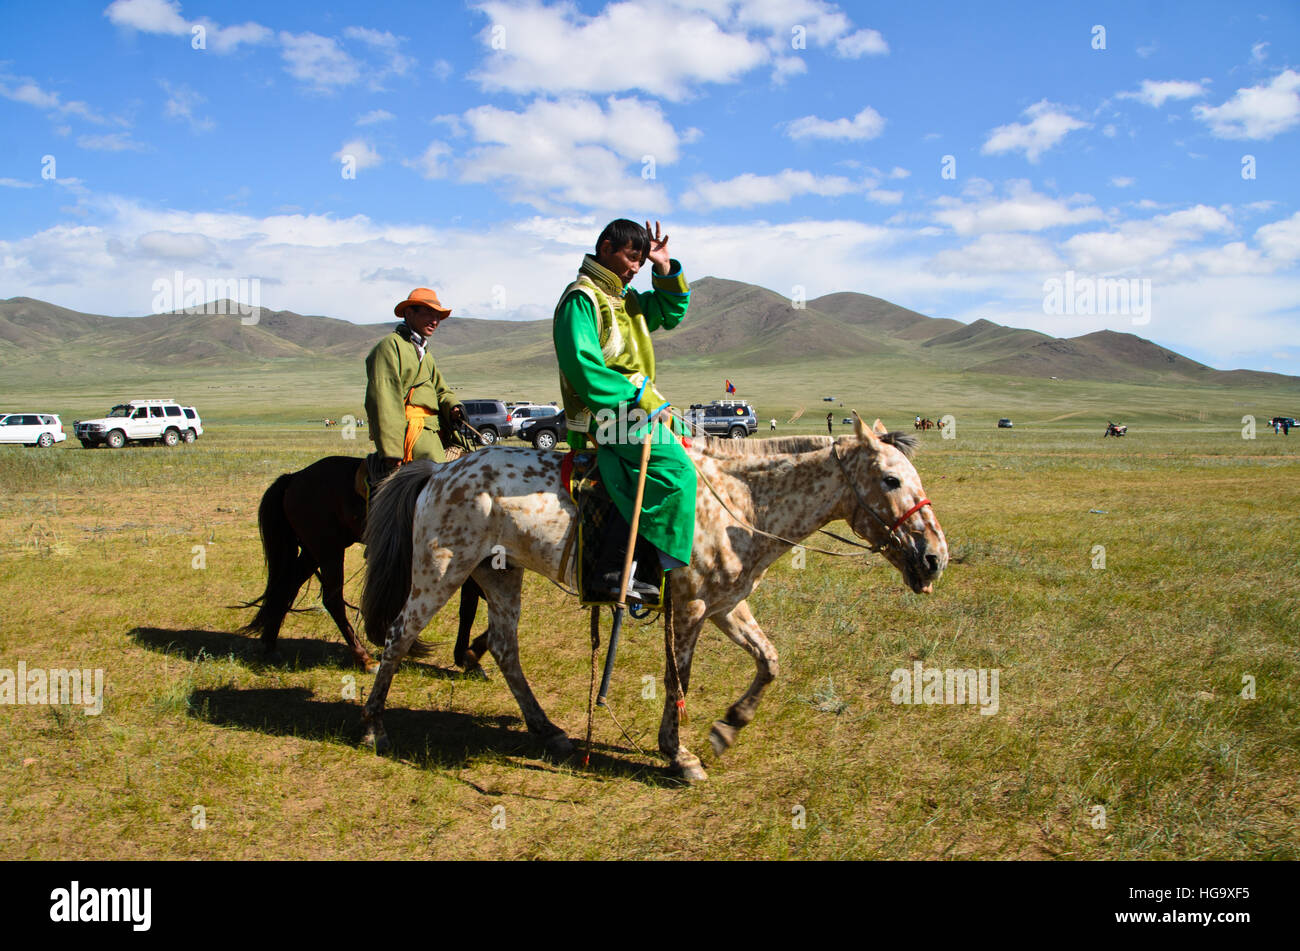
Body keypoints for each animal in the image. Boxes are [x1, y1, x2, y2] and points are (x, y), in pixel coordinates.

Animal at [240, 455, 487, 673]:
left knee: (287, 586)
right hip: (329, 551)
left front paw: (466, 656)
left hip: (313, 551)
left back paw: (269, 644)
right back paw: (364, 658)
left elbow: (468, 609)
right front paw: (470, 654)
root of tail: (294, 477)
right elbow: (472, 609)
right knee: (332, 600)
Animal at [358, 413, 947, 781]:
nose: (935, 557)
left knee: (504, 648)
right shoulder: (689, 608)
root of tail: (440, 470)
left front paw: (727, 728)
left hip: (500, 575)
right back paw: (372, 729)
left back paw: (549, 731)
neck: (739, 502)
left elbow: (770, 660)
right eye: (891, 480)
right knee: (398, 637)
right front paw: (679, 755)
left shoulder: (726, 605)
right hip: (440, 572)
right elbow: (677, 679)